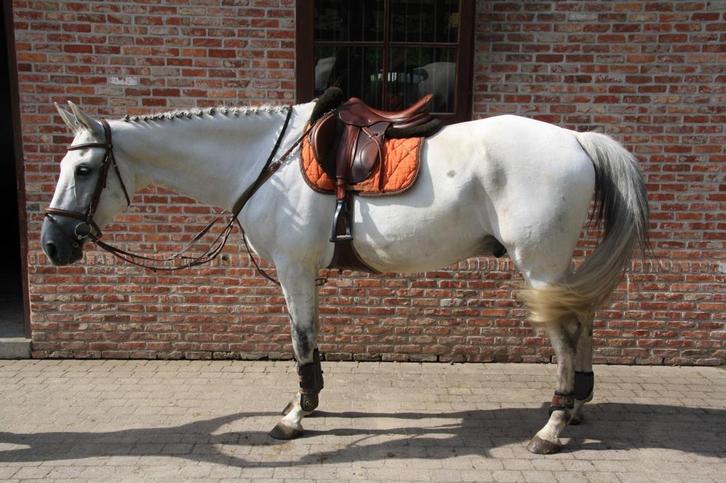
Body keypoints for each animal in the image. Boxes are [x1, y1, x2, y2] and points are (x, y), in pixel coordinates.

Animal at [40, 99, 648, 454]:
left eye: (85, 169)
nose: (52, 245)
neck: (264, 164)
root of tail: (576, 140)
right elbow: (310, 341)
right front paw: (310, 404)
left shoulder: (294, 269)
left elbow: (301, 341)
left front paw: (295, 416)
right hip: (556, 266)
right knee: (583, 321)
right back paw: (577, 408)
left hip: (539, 264)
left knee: (567, 336)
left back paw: (552, 428)